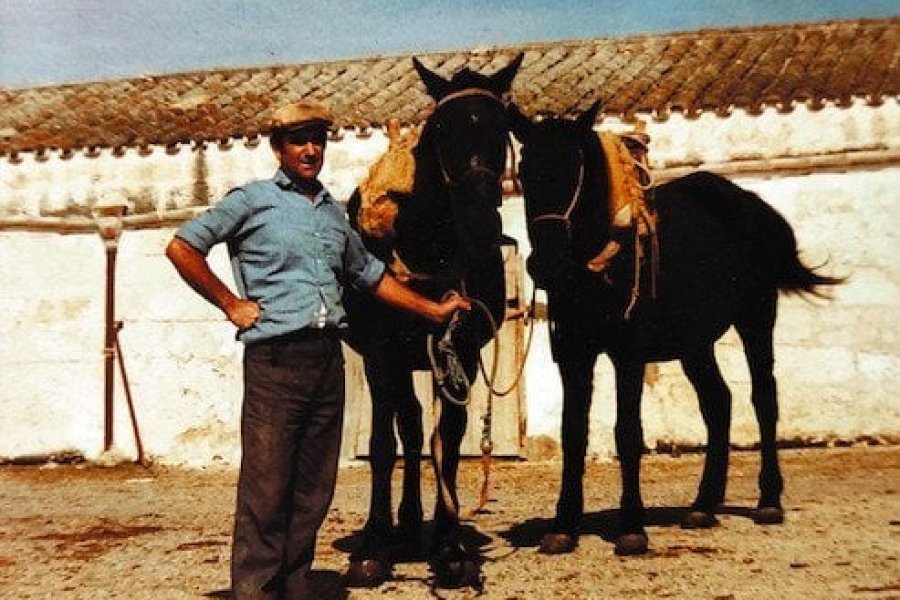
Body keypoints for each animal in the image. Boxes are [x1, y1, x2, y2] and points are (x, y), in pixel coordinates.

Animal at [344, 54, 528, 588]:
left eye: (502, 126)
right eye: (442, 128)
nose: (481, 220)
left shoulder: (459, 349)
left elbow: (448, 439)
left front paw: (449, 548)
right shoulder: (381, 356)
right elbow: (382, 444)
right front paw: (374, 546)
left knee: (419, 430)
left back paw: (414, 526)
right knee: (405, 429)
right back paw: (400, 528)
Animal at [512, 101, 844, 556]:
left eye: (576, 169)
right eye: (524, 170)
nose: (545, 264)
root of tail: (750, 205)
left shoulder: (629, 355)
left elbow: (628, 433)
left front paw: (632, 527)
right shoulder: (573, 354)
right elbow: (573, 434)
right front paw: (564, 525)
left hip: (756, 318)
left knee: (763, 399)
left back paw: (768, 501)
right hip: (695, 344)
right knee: (718, 403)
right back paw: (703, 505)